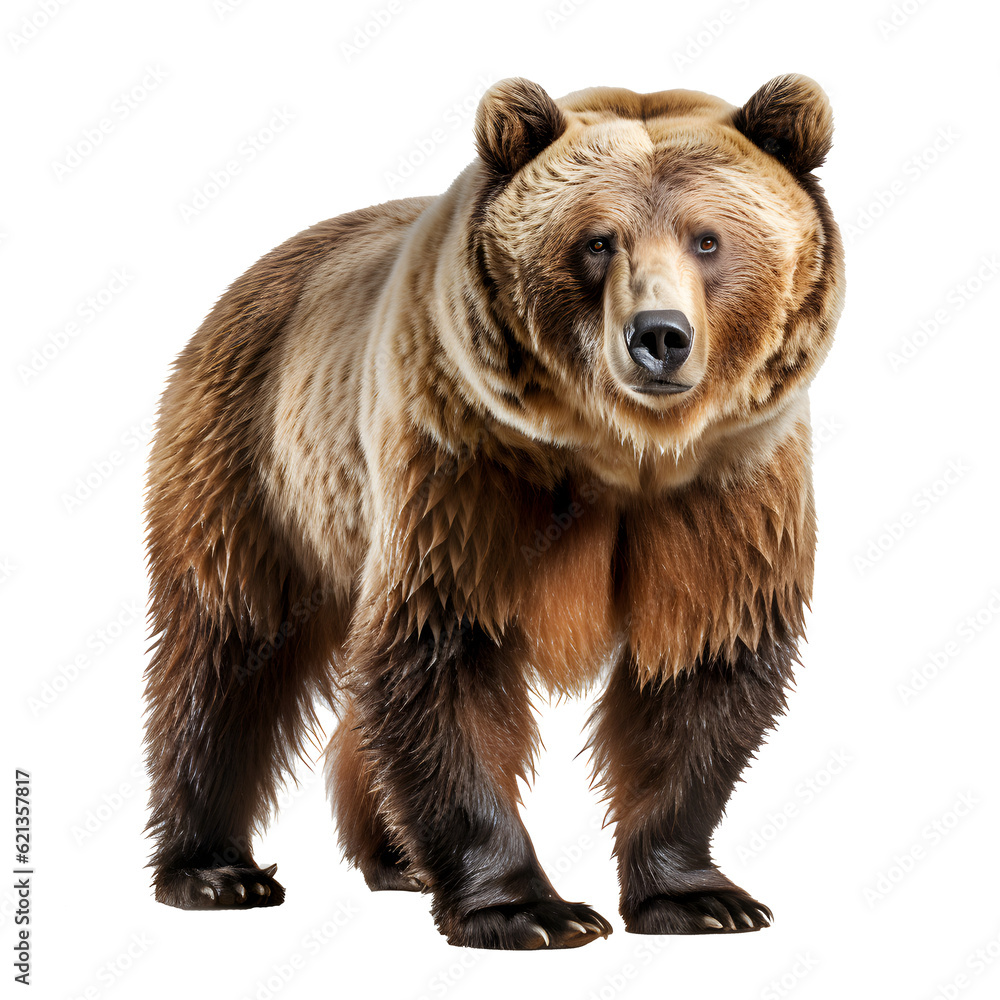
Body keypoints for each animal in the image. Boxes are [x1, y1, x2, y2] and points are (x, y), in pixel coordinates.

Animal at [142, 73, 844, 949]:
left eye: (708, 239)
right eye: (598, 241)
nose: (659, 336)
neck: (622, 453)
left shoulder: (728, 483)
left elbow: (704, 662)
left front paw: (703, 897)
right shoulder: (467, 461)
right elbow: (446, 652)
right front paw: (529, 910)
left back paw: (396, 856)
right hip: (256, 458)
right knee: (227, 647)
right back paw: (214, 870)